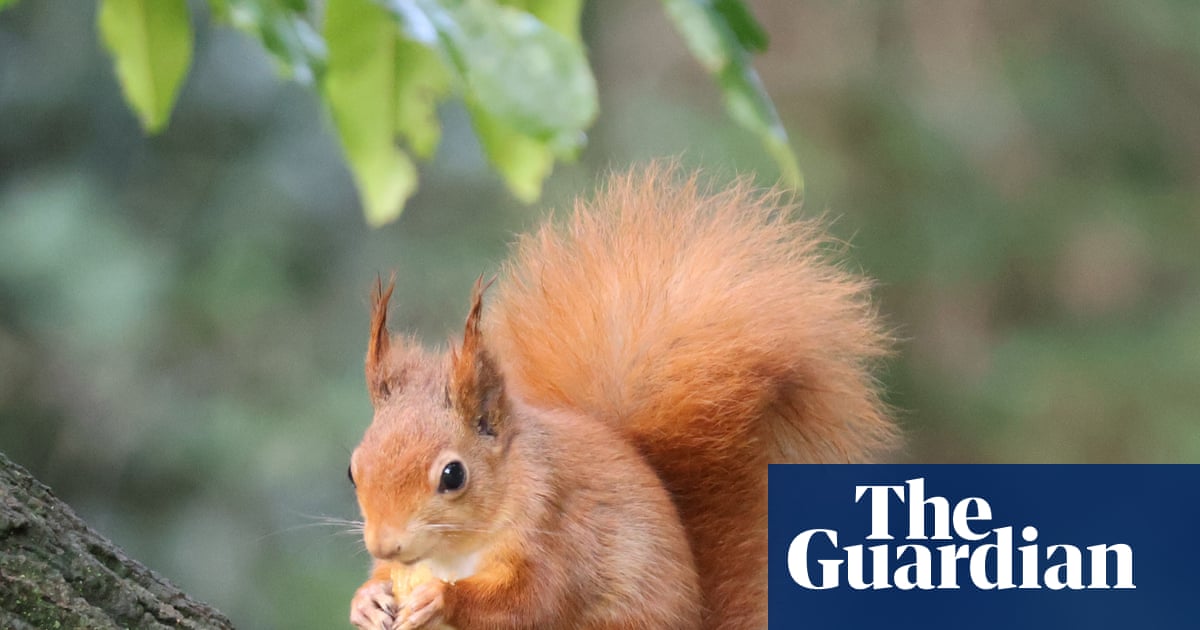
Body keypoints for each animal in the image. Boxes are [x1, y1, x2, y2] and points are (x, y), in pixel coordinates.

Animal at [347, 164, 896, 630]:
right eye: (353, 470)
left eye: (453, 475)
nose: (385, 545)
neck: (454, 552)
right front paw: (368, 600)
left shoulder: (561, 531)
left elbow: (534, 600)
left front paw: (442, 598)